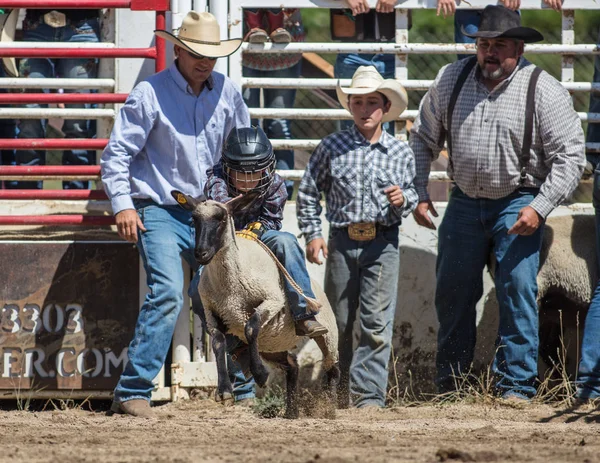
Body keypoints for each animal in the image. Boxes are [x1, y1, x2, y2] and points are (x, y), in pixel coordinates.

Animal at [171, 190, 340, 418]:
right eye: (194, 219)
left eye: (221, 219)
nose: (201, 253)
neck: (230, 289)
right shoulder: (211, 313)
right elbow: (218, 343)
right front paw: (224, 392)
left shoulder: (272, 300)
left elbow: (250, 327)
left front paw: (259, 374)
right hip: (272, 346)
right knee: (292, 365)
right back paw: (291, 412)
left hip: (329, 334)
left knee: (333, 367)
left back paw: (330, 408)